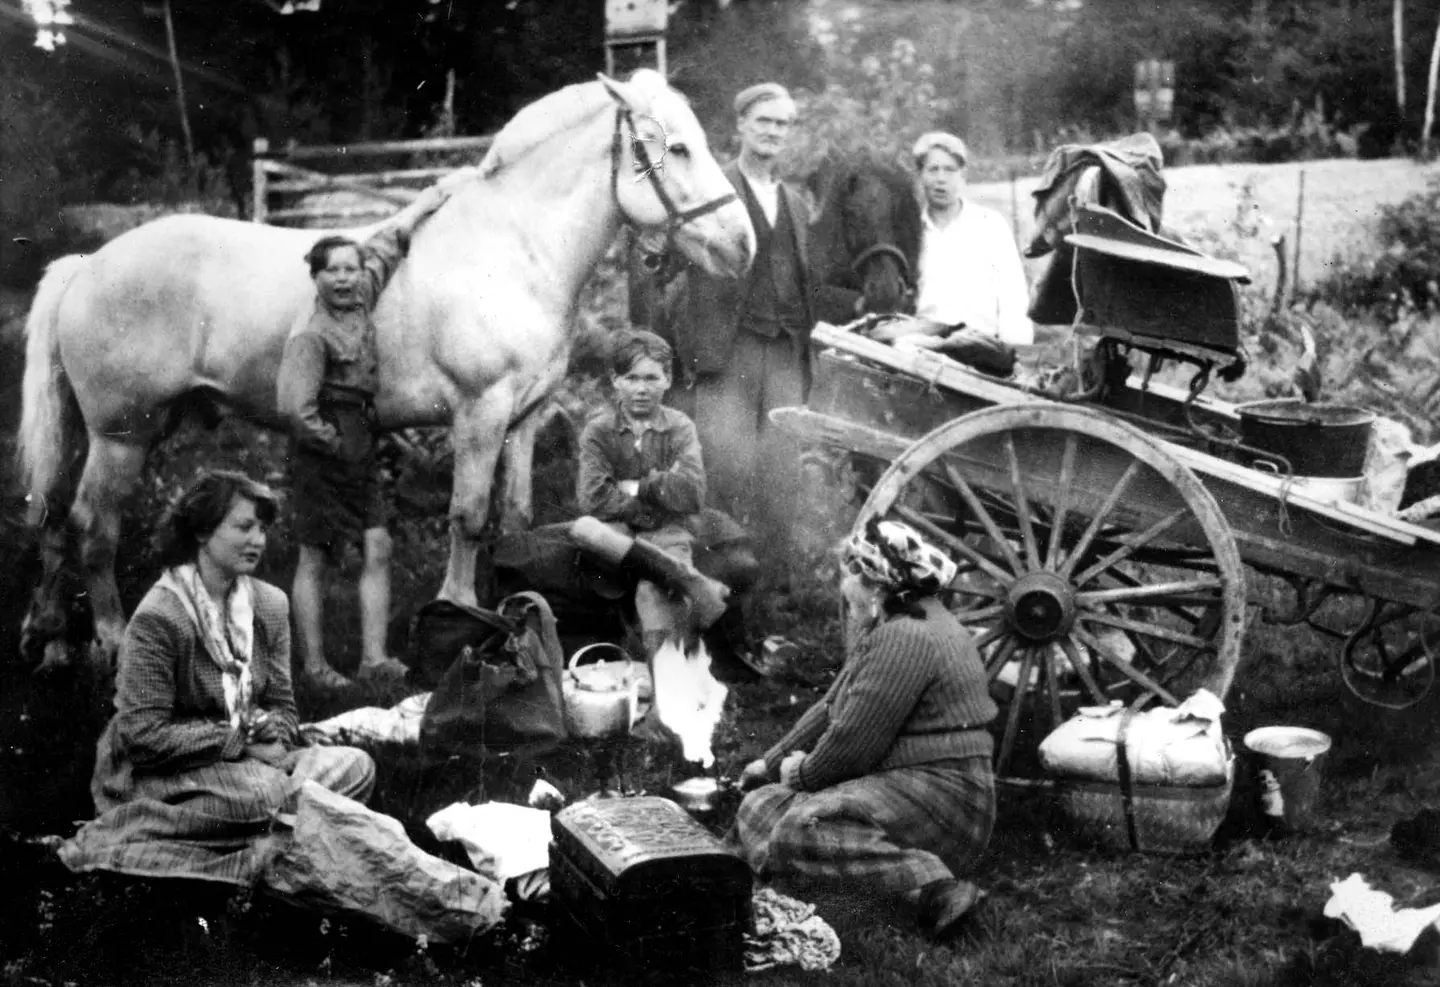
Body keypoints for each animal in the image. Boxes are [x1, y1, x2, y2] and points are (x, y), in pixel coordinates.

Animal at [19, 71, 754, 662]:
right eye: (678, 148)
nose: (741, 245)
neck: (513, 251)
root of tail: (88, 263)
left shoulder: (523, 419)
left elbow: (513, 517)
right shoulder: (479, 414)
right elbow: (468, 516)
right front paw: (459, 609)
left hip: (117, 431)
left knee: (54, 517)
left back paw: (50, 638)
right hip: (122, 436)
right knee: (92, 527)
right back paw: (109, 639)